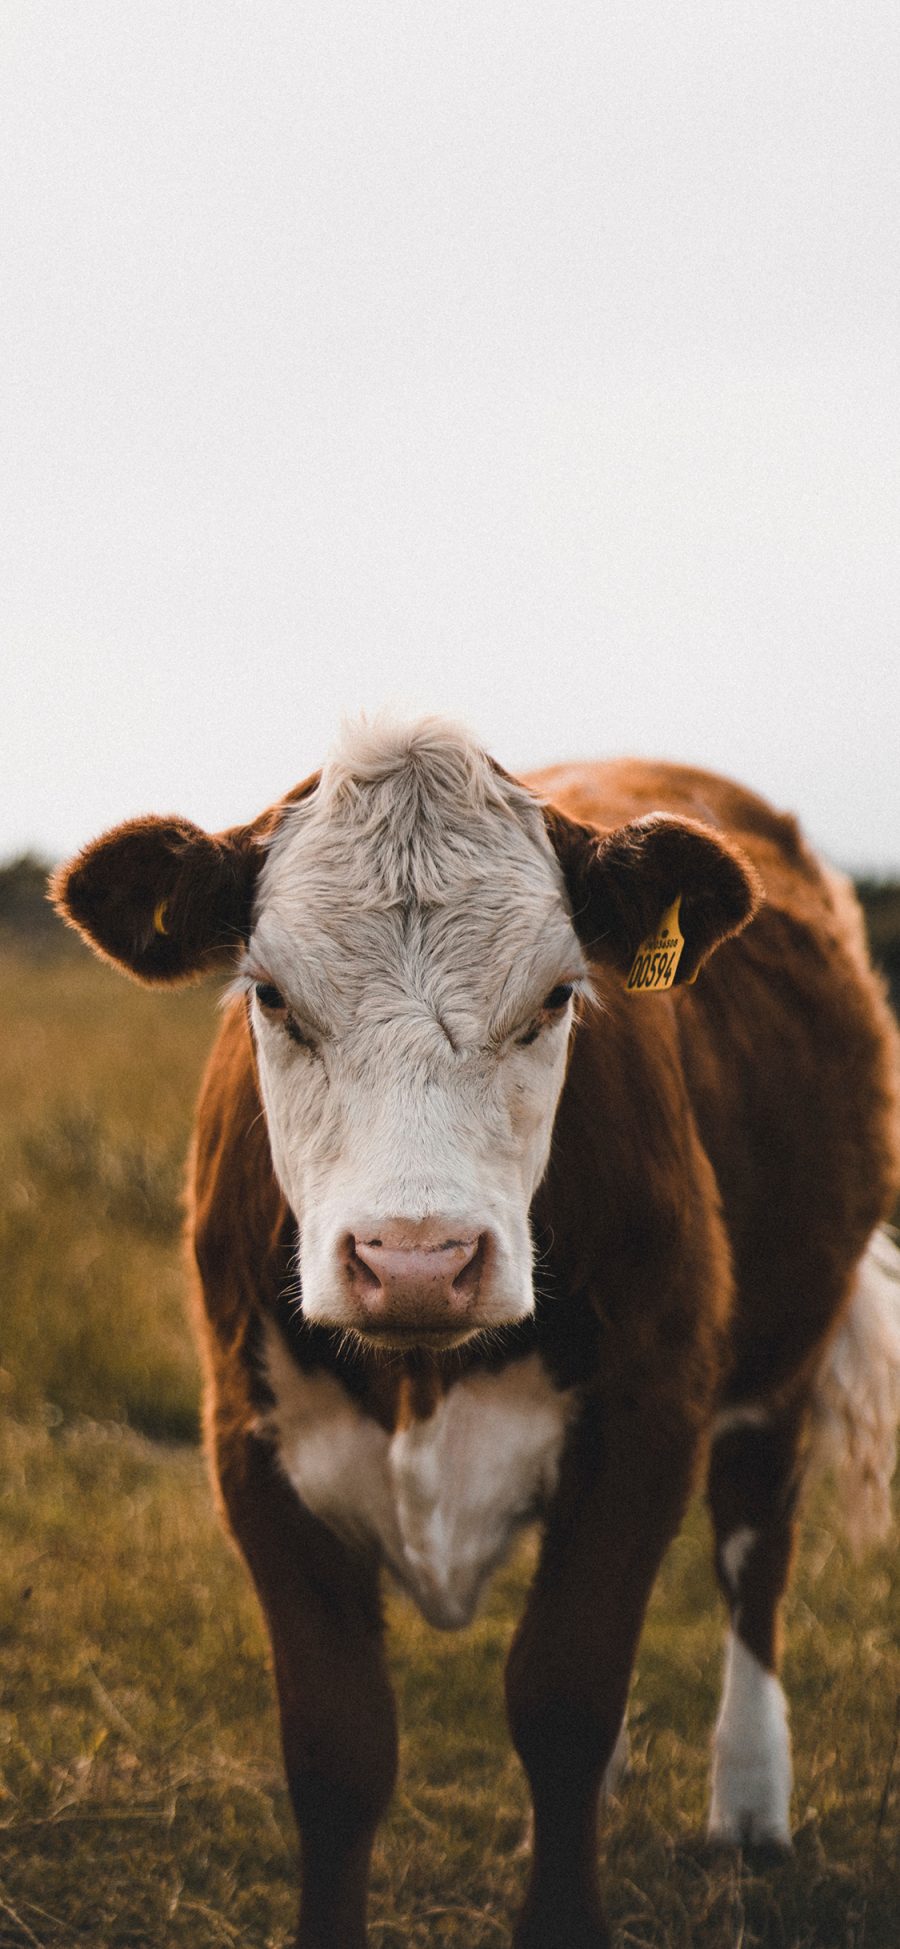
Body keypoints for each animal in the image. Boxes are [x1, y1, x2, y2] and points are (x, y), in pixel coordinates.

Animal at [54, 721, 900, 1949]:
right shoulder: (249, 1443)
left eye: (556, 997)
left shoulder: (649, 1415)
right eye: (271, 995)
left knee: (755, 1550)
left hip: (784, 1352)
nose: (417, 1259)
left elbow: (564, 1696)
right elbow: (339, 1744)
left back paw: (749, 1801)